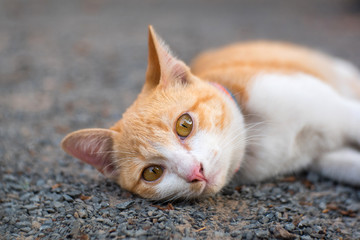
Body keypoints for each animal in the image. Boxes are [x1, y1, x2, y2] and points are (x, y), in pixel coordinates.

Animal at [61, 25, 360, 201]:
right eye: (152, 173)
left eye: (184, 124)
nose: (196, 171)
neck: (256, 136)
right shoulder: (325, 158)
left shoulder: (341, 112)